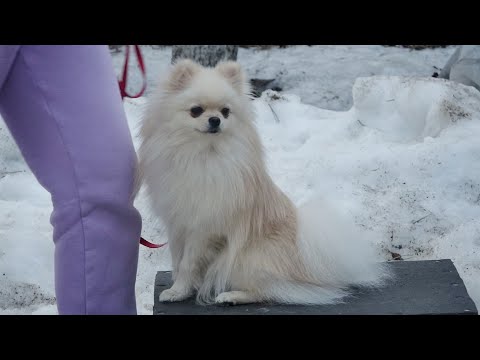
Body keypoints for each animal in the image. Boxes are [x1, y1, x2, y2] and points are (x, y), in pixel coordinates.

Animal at [135, 57, 390, 306]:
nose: (215, 120)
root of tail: (308, 260)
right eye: (196, 111)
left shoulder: (202, 227)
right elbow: (177, 260)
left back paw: (232, 296)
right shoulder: (178, 224)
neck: (200, 154)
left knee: (267, 291)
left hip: (246, 259)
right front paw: (179, 289)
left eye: (226, 111)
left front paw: (180, 289)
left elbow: (188, 263)